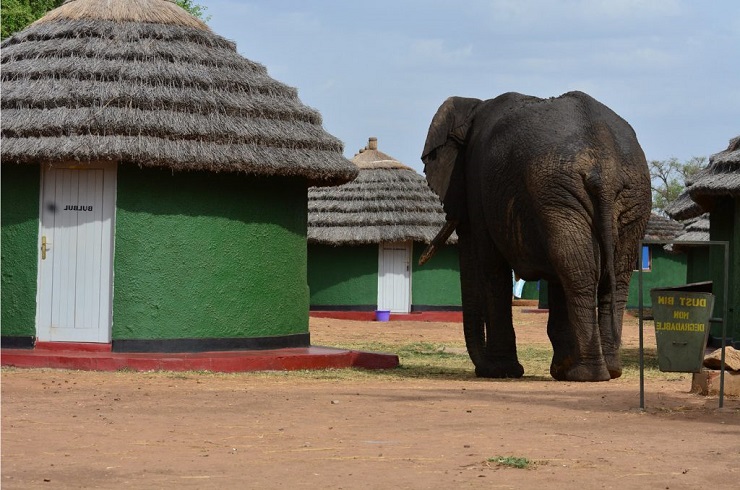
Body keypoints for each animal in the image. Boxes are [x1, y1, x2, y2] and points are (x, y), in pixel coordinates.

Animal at [420, 92, 652, 382]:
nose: (479, 369)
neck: (474, 106)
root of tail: (605, 167)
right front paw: (557, 369)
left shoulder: (478, 186)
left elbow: (491, 267)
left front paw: (500, 371)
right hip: (620, 194)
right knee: (607, 274)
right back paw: (608, 370)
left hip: (562, 191)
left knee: (579, 271)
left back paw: (586, 374)